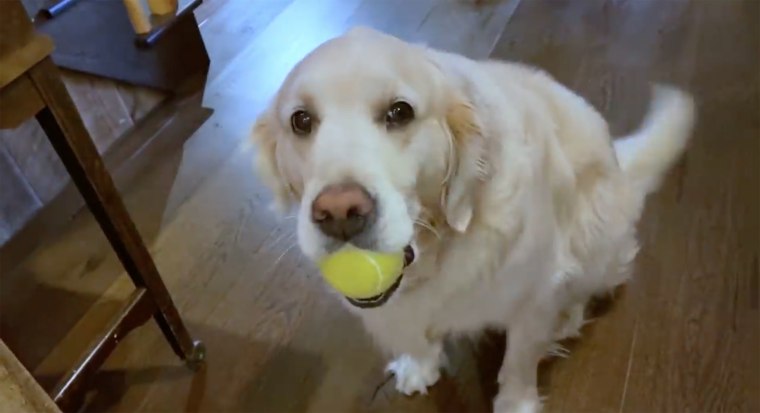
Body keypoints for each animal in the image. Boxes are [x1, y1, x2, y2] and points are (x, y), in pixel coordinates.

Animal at [249, 27, 696, 410]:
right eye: (301, 120)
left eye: (399, 113)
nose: (340, 212)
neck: (438, 246)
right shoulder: (398, 309)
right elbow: (414, 333)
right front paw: (419, 365)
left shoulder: (534, 293)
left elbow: (518, 362)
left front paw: (516, 404)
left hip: (598, 233)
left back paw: (567, 315)